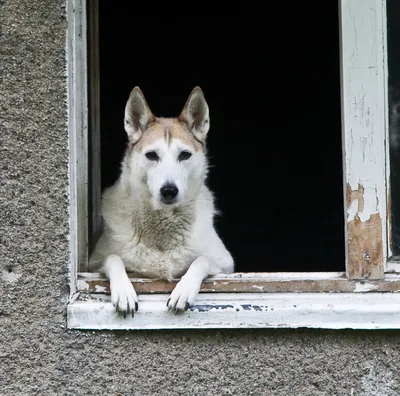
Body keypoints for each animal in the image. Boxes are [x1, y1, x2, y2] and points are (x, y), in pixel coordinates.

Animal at [90, 86, 234, 316]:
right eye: (151, 155)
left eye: (184, 155)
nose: (169, 190)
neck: (162, 223)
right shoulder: (93, 263)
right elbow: (113, 258)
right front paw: (124, 292)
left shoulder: (226, 263)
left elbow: (201, 260)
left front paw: (184, 290)